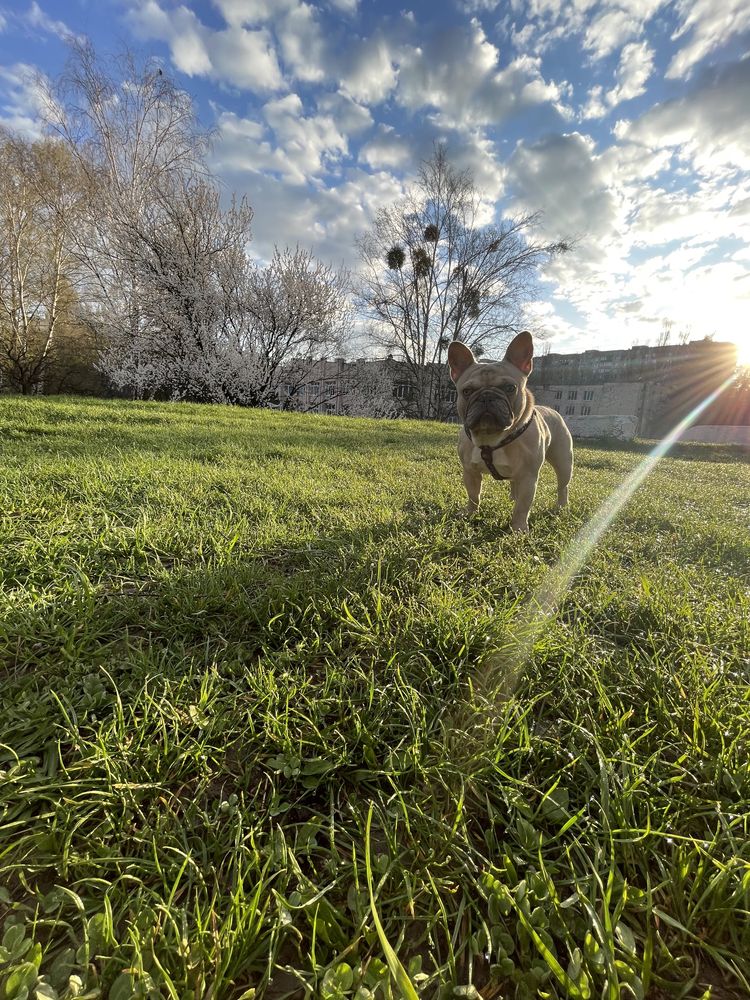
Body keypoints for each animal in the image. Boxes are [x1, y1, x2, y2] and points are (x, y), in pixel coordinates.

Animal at [446, 332, 576, 532]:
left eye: (510, 388)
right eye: (467, 391)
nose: (487, 396)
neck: (491, 437)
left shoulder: (528, 477)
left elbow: (523, 506)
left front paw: (518, 529)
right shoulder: (470, 472)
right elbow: (473, 496)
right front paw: (469, 514)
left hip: (563, 463)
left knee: (563, 486)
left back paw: (561, 507)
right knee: (514, 485)